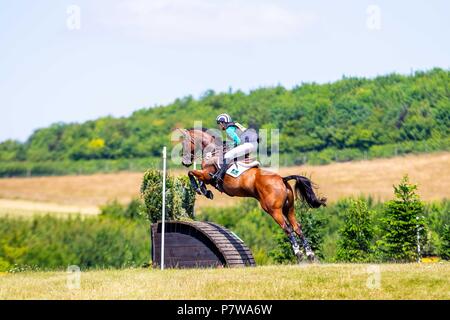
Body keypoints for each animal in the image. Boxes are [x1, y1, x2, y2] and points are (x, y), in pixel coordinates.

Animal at [177, 127, 326, 262]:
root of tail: (282, 180)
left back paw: (299, 254)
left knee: (287, 228)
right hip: (289, 209)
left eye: (185, 143)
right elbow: (198, 178)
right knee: (297, 228)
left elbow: (192, 173)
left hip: (273, 210)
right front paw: (205, 191)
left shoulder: (208, 175)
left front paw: (199, 189)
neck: (212, 151)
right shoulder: (206, 176)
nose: (185, 162)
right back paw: (310, 255)